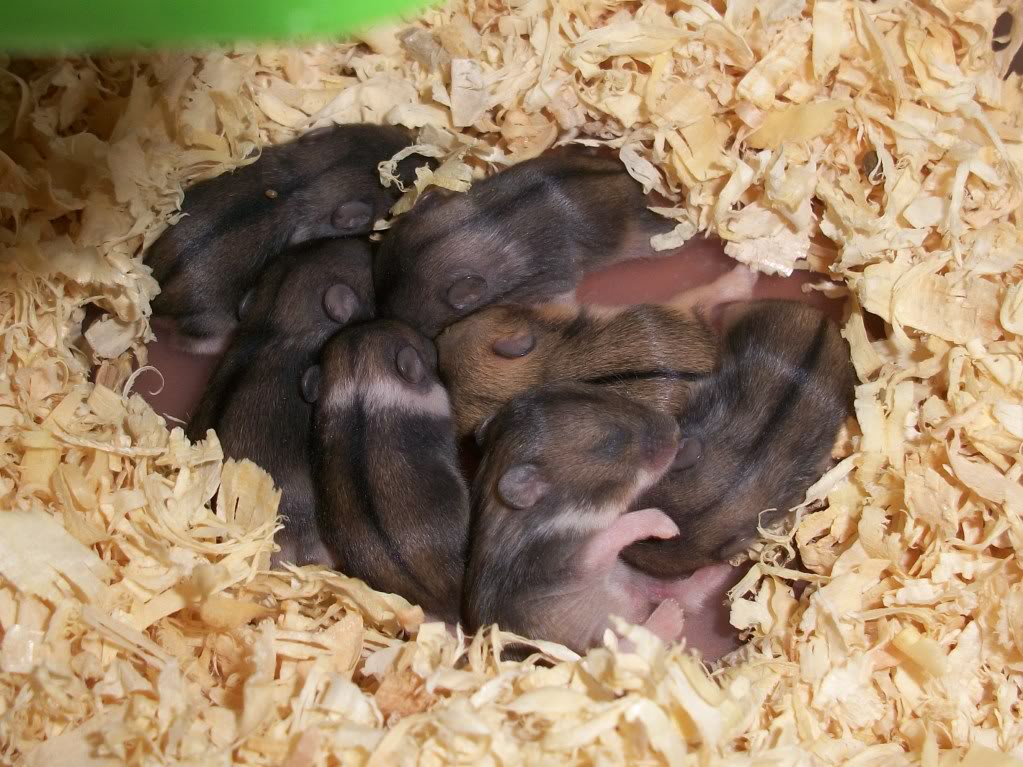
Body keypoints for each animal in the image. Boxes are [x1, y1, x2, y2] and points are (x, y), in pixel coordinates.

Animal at [147, 123, 423, 353]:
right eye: (396, 190)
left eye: (385, 129)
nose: (427, 157)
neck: (310, 178)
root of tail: (157, 302)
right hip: (208, 322)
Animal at [464, 382, 709, 654]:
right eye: (610, 442)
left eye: (609, 394)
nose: (675, 429)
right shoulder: (574, 562)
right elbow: (612, 531)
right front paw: (667, 525)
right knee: (628, 644)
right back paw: (670, 615)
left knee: (676, 591)